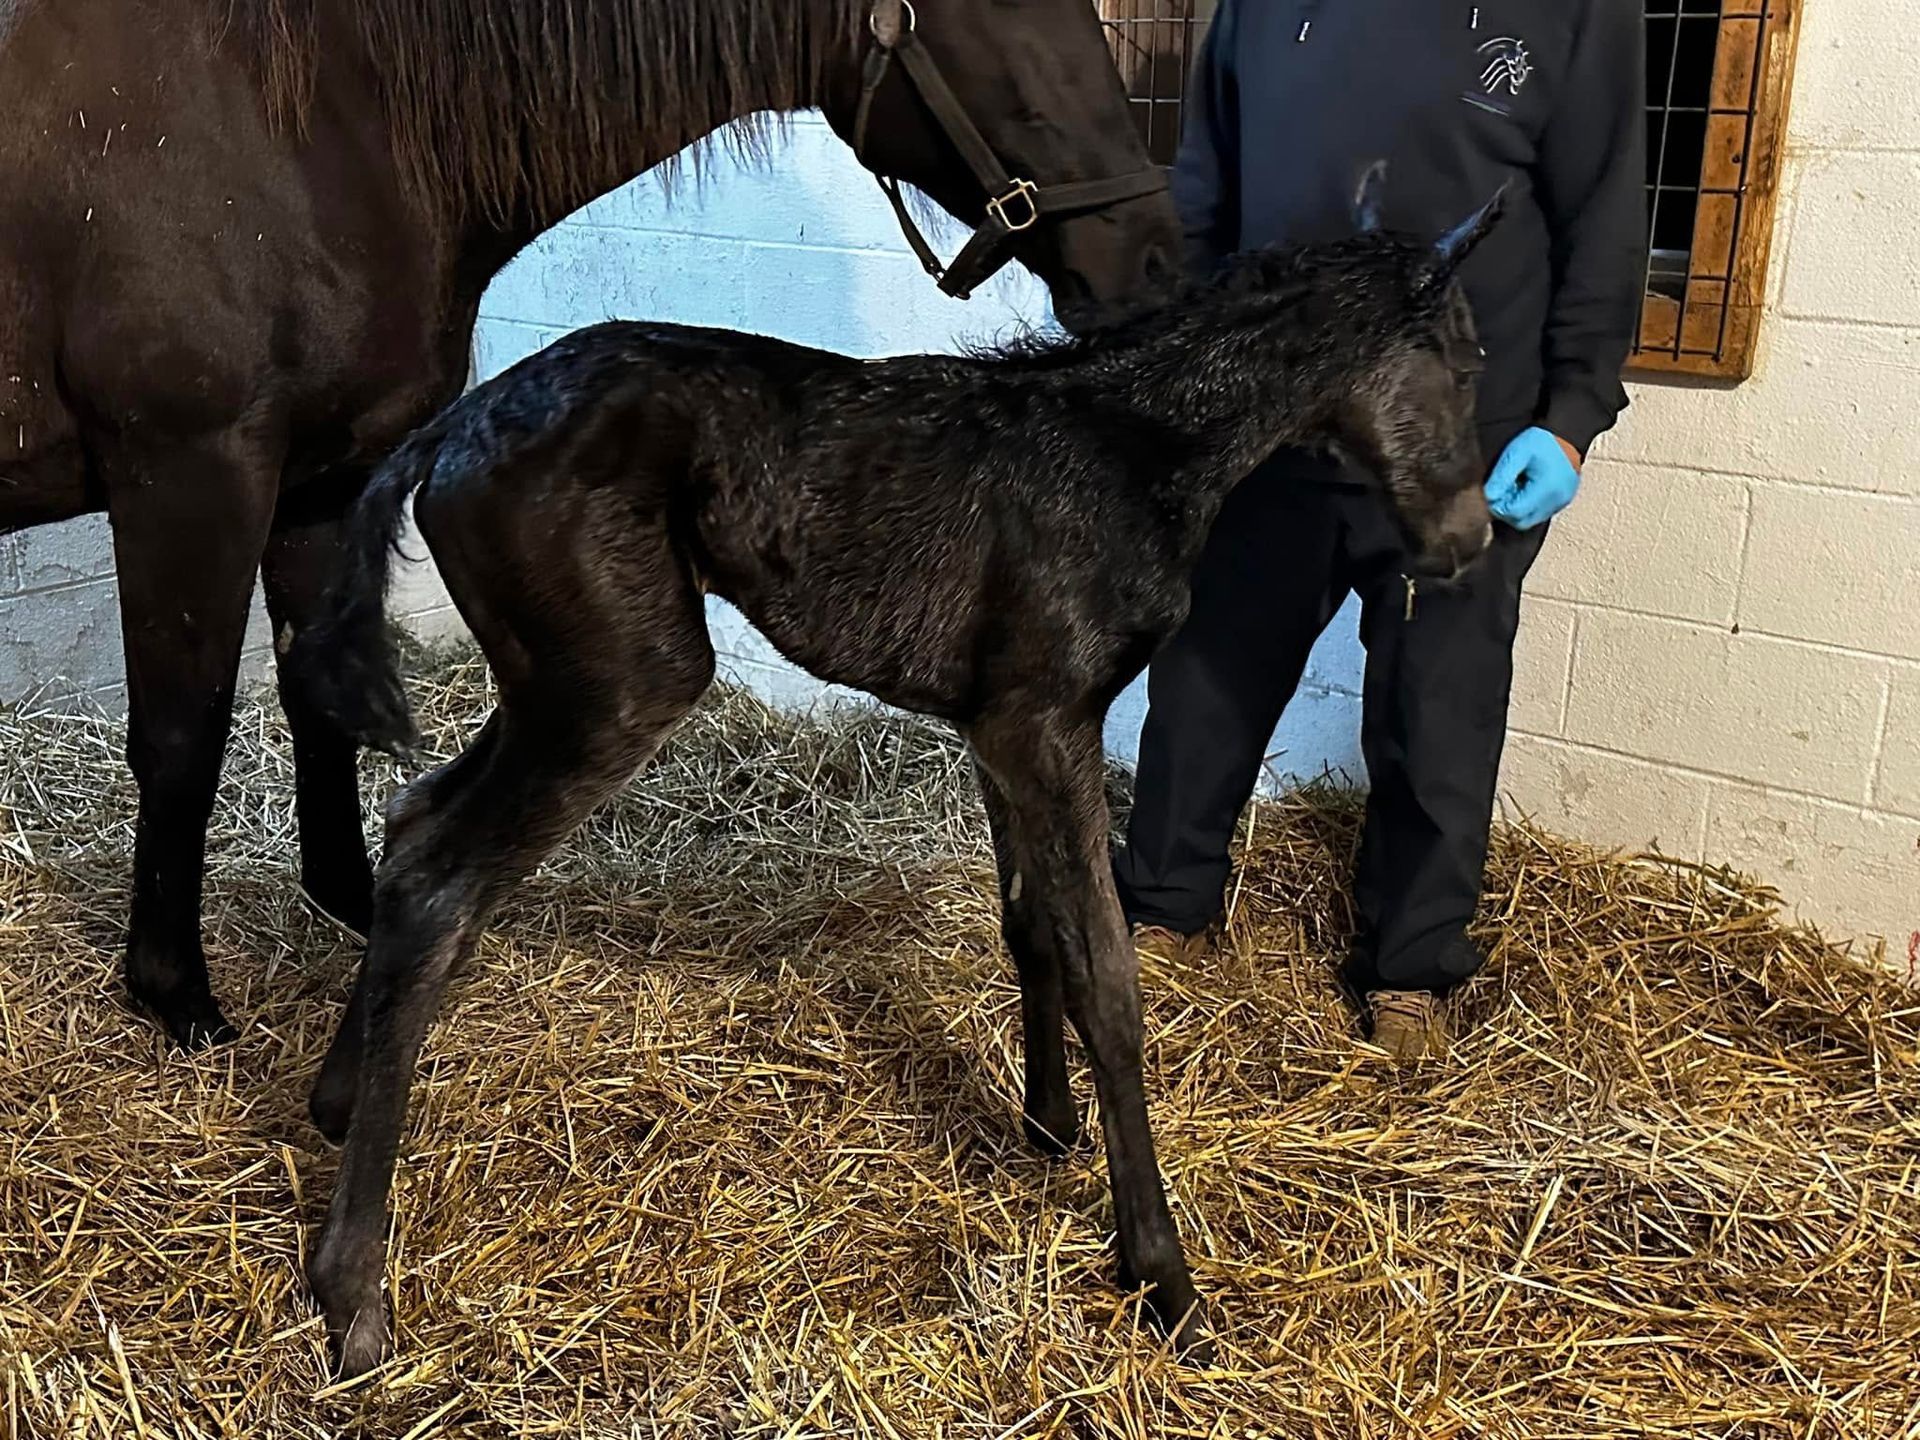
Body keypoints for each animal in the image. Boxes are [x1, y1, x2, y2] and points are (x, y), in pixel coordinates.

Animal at [0, 0, 1180, 1048]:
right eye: (1013, 15)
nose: (1151, 257)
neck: (309, 119)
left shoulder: (321, 483)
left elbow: (317, 701)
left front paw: (348, 903)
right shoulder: (190, 476)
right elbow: (180, 738)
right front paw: (174, 993)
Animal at [288, 185, 1505, 1374]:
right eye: (1465, 361)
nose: (1473, 542)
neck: (1131, 449)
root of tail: (451, 429)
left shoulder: (997, 727)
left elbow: (1031, 928)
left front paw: (1047, 1130)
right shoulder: (1049, 723)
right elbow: (1108, 981)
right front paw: (1161, 1275)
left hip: (550, 685)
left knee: (415, 823)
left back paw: (336, 1103)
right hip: (622, 684)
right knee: (441, 884)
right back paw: (353, 1295)